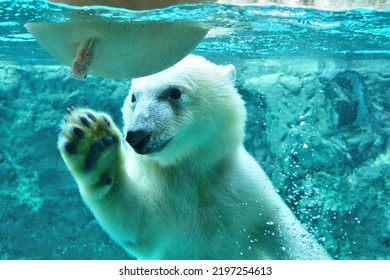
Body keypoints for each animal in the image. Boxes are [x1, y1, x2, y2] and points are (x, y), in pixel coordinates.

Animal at [58, 54, 330, 260]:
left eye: (174, 92)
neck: (190, 169)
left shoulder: (247, 191)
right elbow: (134, 221)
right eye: (134, 97)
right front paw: (93, 143)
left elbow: (290, 238)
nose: (136, 135)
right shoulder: (163, 200)